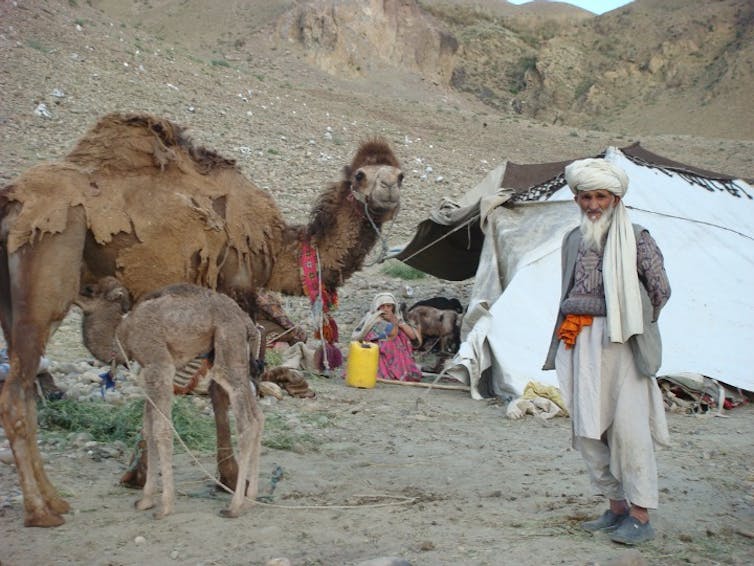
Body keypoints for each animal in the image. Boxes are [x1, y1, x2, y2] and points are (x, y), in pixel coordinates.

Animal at [74, 278, 262, 520]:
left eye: (89, 290)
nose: (73, 294)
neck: (122, 334)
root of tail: (246, 322)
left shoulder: (159, 365)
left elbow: (162, 429)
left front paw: (165, 506)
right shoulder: (146, 372)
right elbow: (148, 428)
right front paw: (145, 500)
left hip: (228, 342)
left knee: (247, 421)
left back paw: (235, 506)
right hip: (236, 355)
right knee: (258, 416)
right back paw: (250, 500)